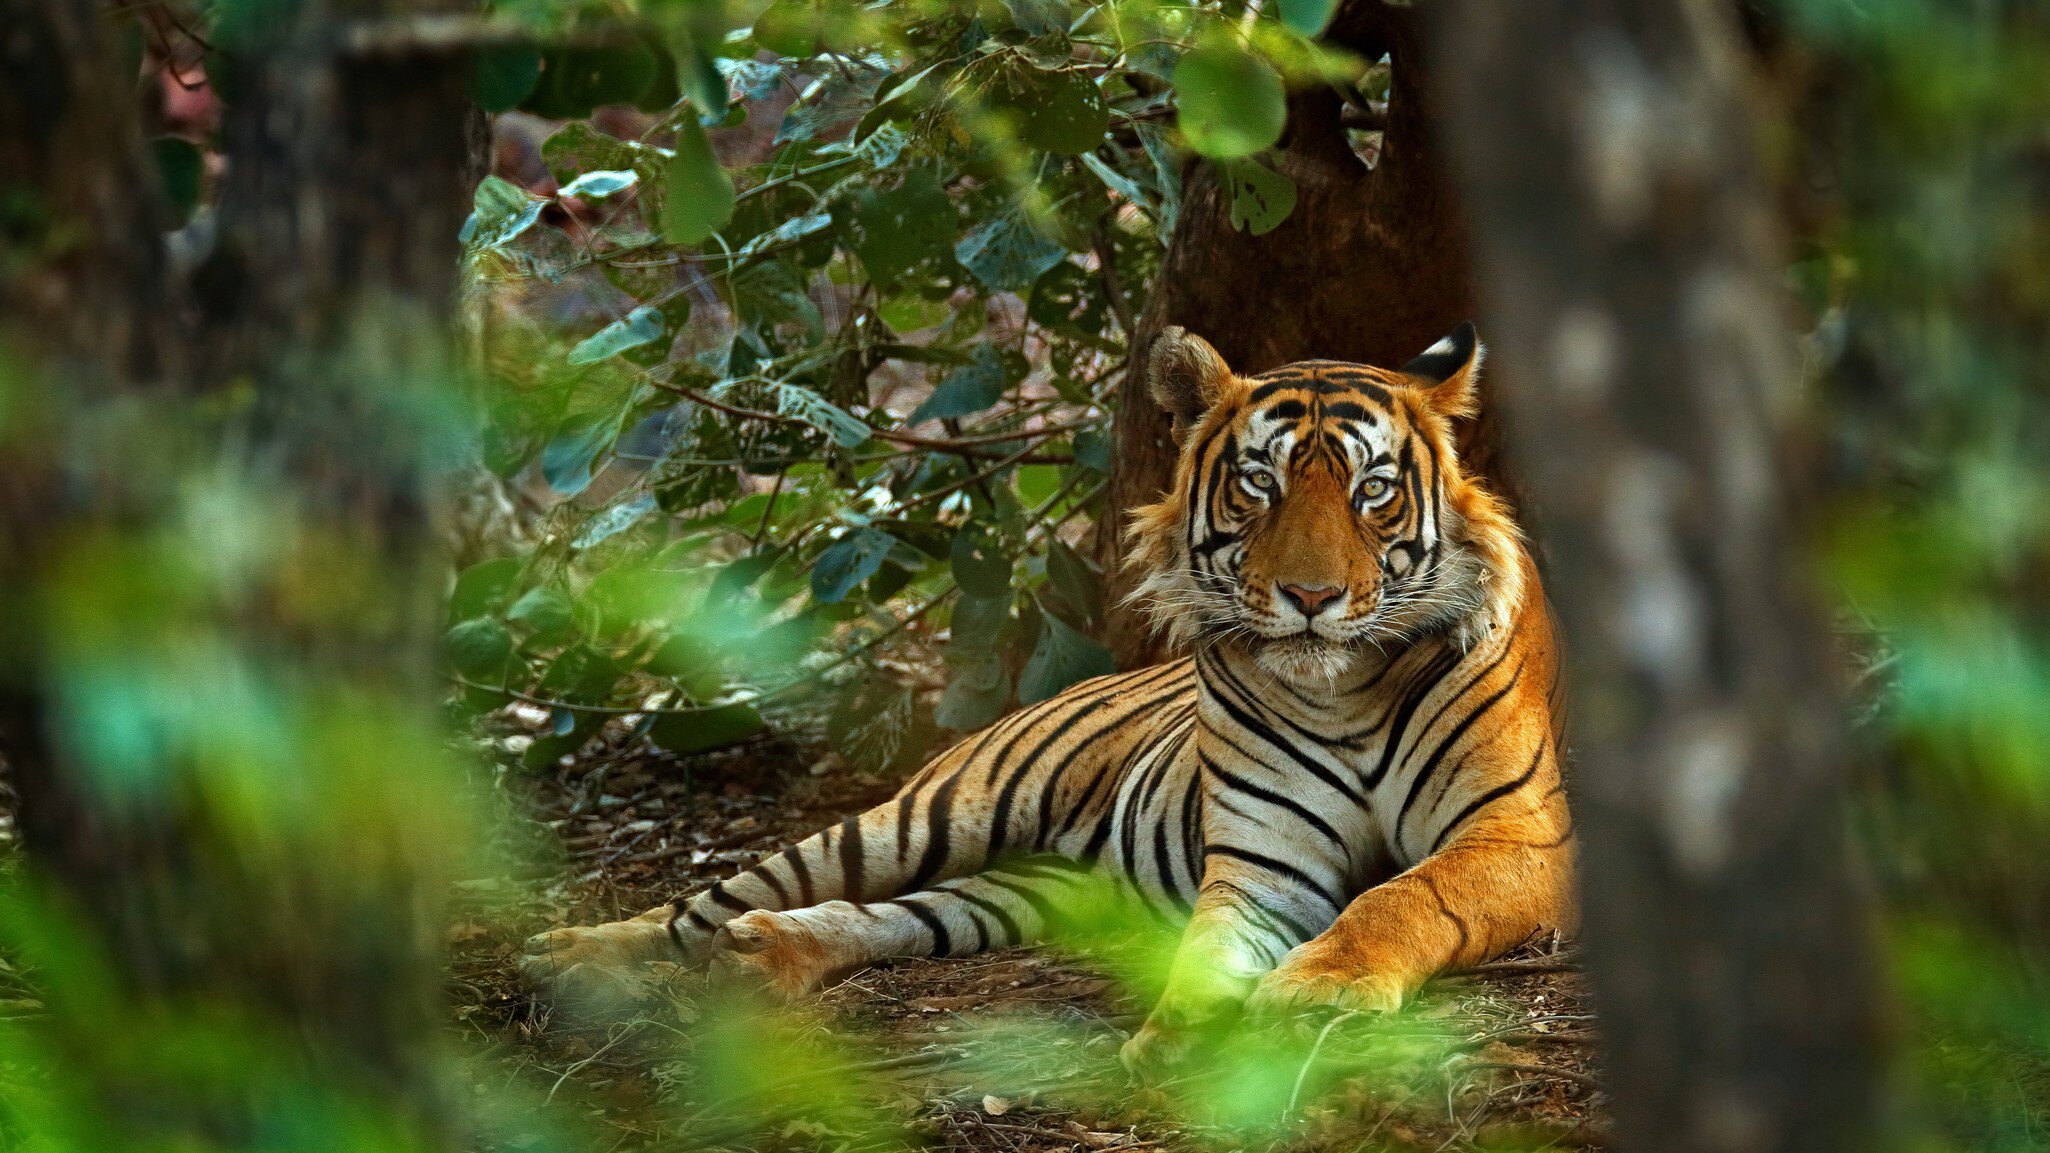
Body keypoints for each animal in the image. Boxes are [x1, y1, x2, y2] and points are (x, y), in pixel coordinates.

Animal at [521, 323, 1575, 1072]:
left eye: (1373, 492)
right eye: (1259, 484)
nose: (1310, 598)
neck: (1343, 691)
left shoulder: (1520, 834)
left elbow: (1404, 895)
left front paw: (1316, 991)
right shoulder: (1262, 865)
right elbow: (1208, 950)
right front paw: (1180, 1037)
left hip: (1031, 889)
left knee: (897, 915)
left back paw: (763, 955)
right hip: (928, 815)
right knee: (714, 899)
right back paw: (573, 952)